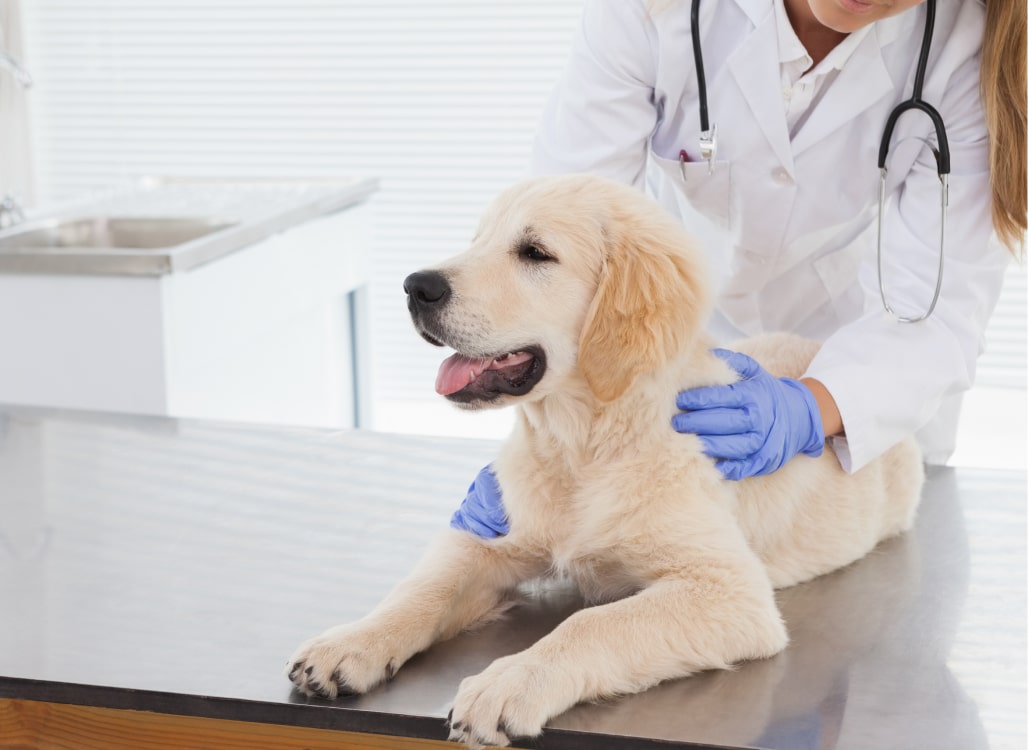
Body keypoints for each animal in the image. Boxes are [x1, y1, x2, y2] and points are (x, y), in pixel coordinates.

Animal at [289, 173, 925, 747]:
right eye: (477, 240)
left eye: (535, 252)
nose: (415, 286)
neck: (583, 448)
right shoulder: (492, 539)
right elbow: (424, 587)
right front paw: (352, 642)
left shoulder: (730, 592)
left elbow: (591, 623)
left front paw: (511, 682)